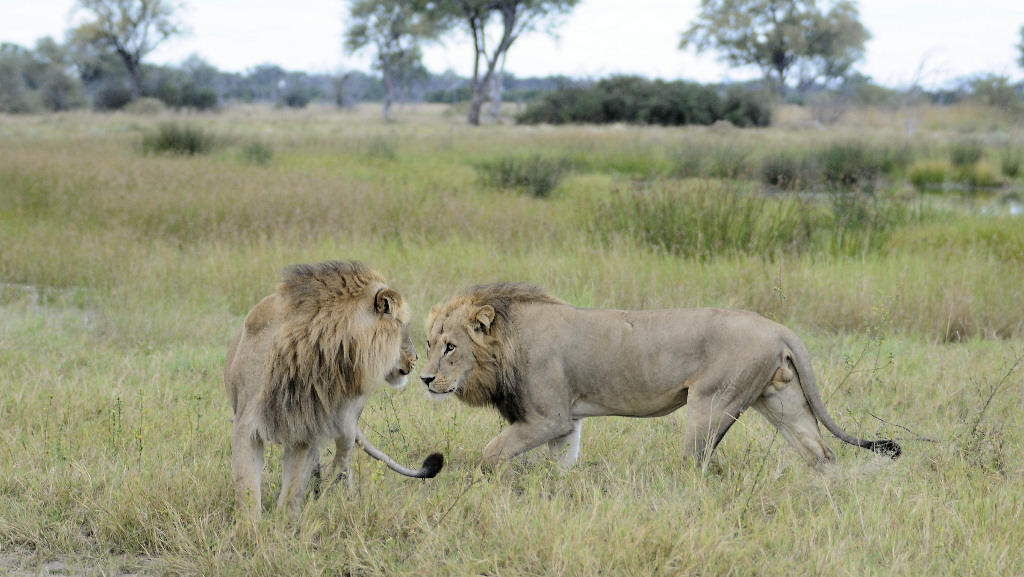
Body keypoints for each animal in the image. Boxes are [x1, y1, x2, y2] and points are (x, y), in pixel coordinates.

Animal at [224, 261, 443, 519]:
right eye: (403, 327)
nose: (416, 358)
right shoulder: (247, 425)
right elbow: (246, 488)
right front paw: (251, 527)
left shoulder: (304, 430)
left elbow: (292, 489)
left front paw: (285, 523)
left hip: (346, 422)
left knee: (342, 461)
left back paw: (340, 496)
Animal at [419, 282, 900, 472]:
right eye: (427, 342)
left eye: (450, 347)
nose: (423, 380)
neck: (509, 340)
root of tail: (778, 327)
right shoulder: (567, 422)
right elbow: (563, 465)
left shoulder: (546, 417)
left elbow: (491, 453)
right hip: (783, 401)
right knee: (821, 454)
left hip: (711, 403)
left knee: (696, 463)